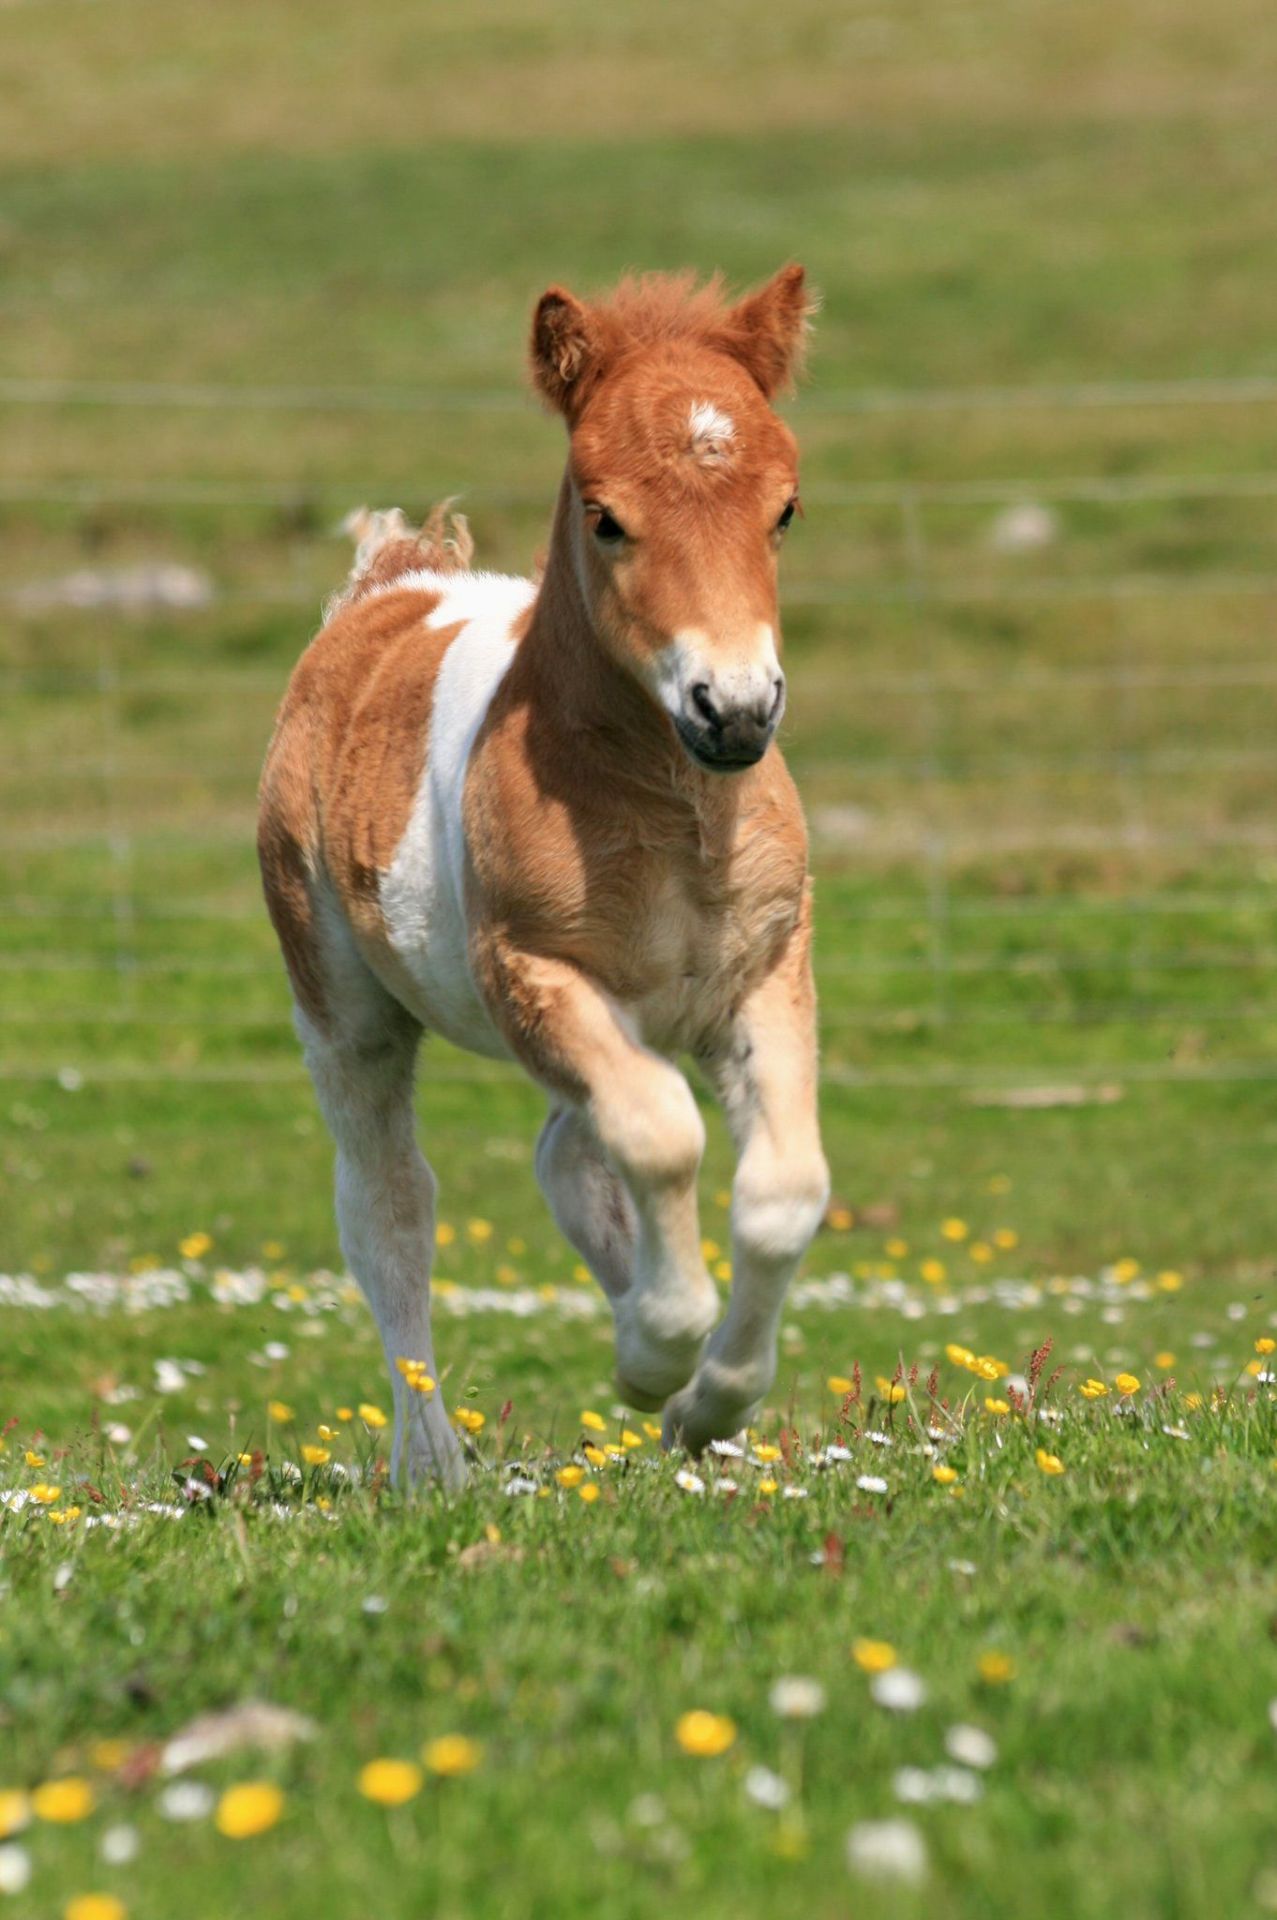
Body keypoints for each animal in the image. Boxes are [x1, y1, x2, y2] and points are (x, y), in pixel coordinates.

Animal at [261, 270, 837, 1489]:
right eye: (606, 515)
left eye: (785, 509)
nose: (734, 710)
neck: (669, 812)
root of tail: (393, 582)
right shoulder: (534, 975)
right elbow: (663, 1138)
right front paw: (654, 1359)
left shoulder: (764, 975)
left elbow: (779, 1192)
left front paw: (712, 1403)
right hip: (344, 1010)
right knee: (388, 1209)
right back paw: (430, 1464)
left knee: (568, 1155)